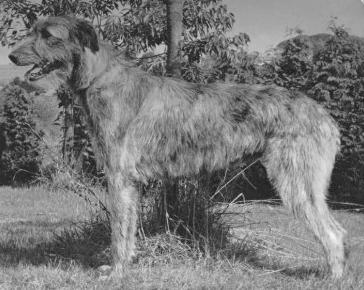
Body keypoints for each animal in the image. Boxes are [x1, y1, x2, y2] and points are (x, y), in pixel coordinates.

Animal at [7, 15, 346, 278]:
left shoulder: (118, 177)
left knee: (333, 232)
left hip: (296, 180)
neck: (101, 77)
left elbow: (118, 230)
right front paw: (125, 266)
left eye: (48, 36)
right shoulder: (131, 183)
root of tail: (323, 114)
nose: (10, 57)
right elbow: (129, 228)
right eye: (33, 30)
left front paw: (116, 272)